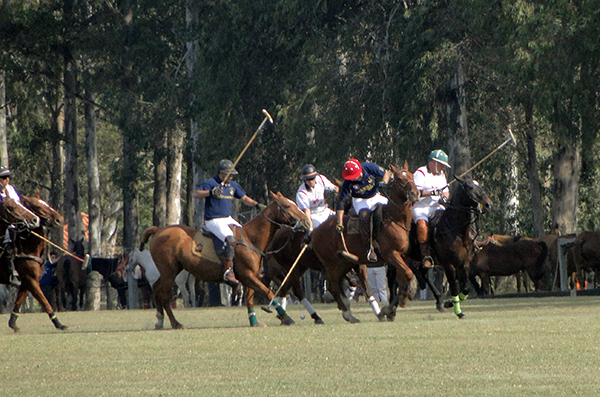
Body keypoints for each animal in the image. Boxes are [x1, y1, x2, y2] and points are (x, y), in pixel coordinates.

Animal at [142, 192, 310, 328]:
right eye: (287, 206)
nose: (307, 222)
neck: (251, 239)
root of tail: (159, 230)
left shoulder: (250, 277)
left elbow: (249, 299)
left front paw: (254, 322)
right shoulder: (247, 275)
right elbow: (268, 292)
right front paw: (286, 317)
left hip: (170, 270)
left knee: (156, 289)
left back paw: (159, 321)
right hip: (169, 271)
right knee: (164, 296)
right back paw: (176, 323)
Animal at [312, 162, 420, 322]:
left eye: (412, 176)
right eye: (400, 179)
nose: (415, 193)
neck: (395, 219)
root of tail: (315, 231)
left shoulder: (402, 255)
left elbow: (402, 280)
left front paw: (393, 307)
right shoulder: (391, 254)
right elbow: (408, 273)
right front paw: (408, 294)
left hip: (347, 263)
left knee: (345, 285)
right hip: (332, 264)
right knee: (333, 286)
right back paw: (347, 313)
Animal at [408, 175, 492, 318]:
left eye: (479, 185)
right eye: (470, 187)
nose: (488, 204)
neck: (456, 230)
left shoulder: (464, 263)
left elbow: (465, 288)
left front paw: (449, 303)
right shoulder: (449, 265)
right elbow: (454, 287)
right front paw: (459, 312)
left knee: (423, 274)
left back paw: (439, 302)